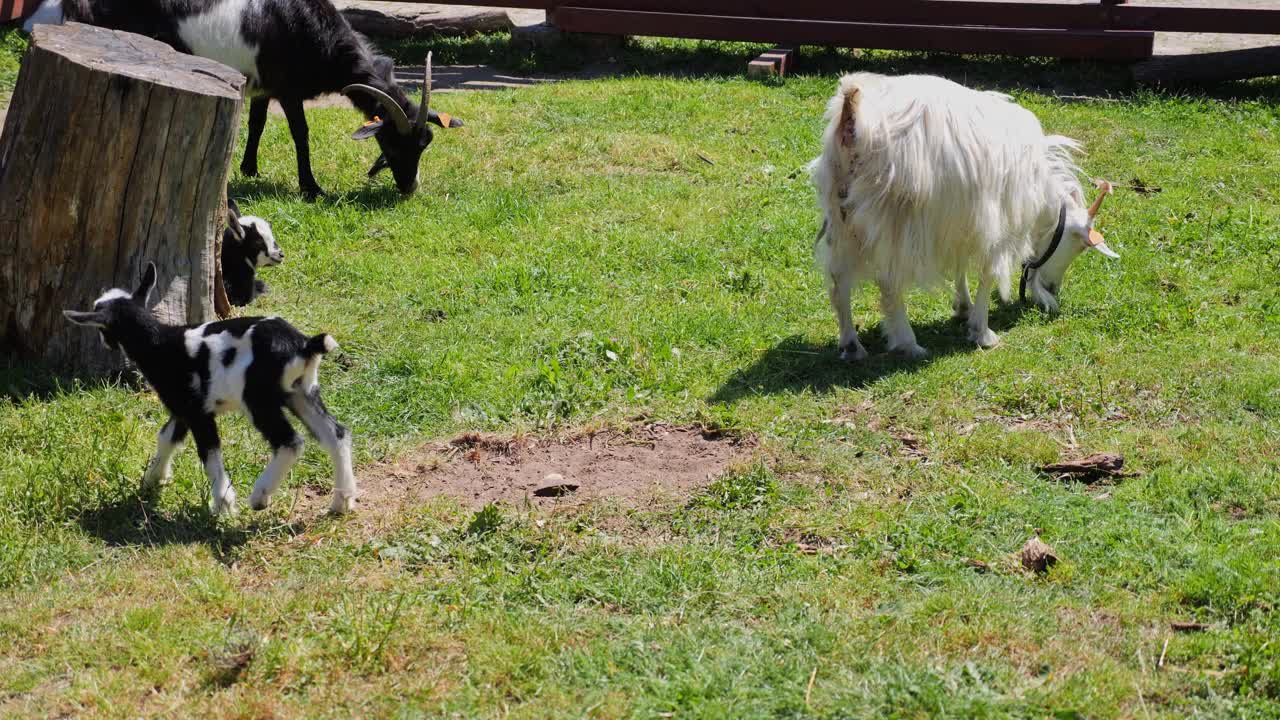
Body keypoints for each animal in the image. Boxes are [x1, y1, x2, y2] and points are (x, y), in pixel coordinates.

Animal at [814, 71, 1116, 356]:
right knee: (888, 281)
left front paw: (964, 306)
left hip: (840, 215)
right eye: (1079, 246)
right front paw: (982, 331)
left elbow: (960, 265)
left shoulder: (964, 220)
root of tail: (853, 116)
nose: (1053, 289)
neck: (1040, 192)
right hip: (895, 219)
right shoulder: (997, 227)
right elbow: (988, 274)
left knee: (838, 279)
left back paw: (851, 345)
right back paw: (907, 342)